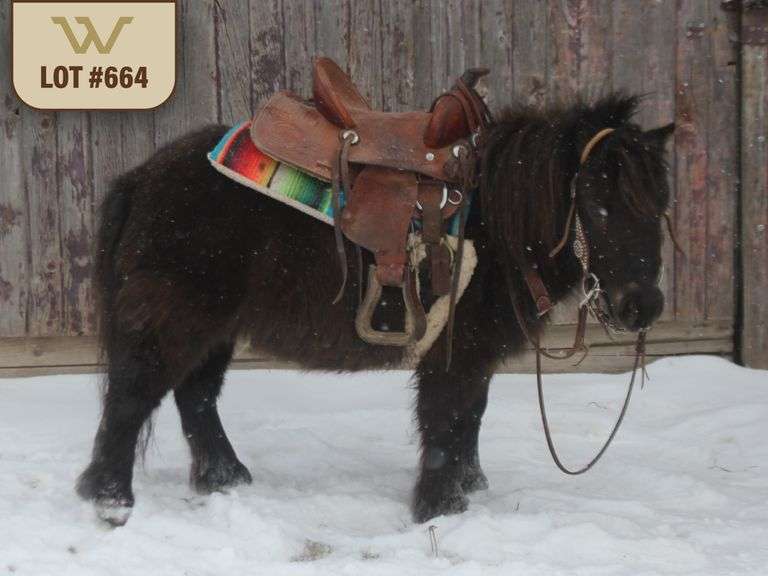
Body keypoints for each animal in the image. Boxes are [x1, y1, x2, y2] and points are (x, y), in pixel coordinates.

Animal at [76, 93, 674, 526]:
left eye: (661, 203)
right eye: (596, 202)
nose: (642, 306)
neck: (499, 225)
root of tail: (142, 177)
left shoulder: (475, 355)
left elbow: (471, 417)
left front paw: (469, 491)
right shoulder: (453, 355)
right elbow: (446, 420)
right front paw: (439, 508)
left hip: (216, 327)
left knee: (195, 397)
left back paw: (225, 479)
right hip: (175, 318)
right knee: (134, 395)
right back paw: (111, 500)